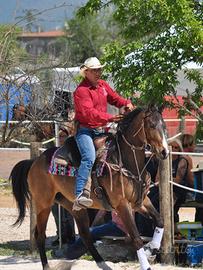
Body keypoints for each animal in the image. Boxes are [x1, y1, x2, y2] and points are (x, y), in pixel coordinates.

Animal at [11, 106, 169, 270]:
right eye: (151, 125)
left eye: (164, 126)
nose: (164, 152)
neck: (124, 162)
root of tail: (35, 161)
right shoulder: (122, 205)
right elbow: (136, 239)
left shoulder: (141, 201)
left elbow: (160, 220)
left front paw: (152, 248)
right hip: (43, 204)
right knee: (40, 235)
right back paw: (47, 266)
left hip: (73, 206)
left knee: (85, 234)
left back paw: (104, 265)